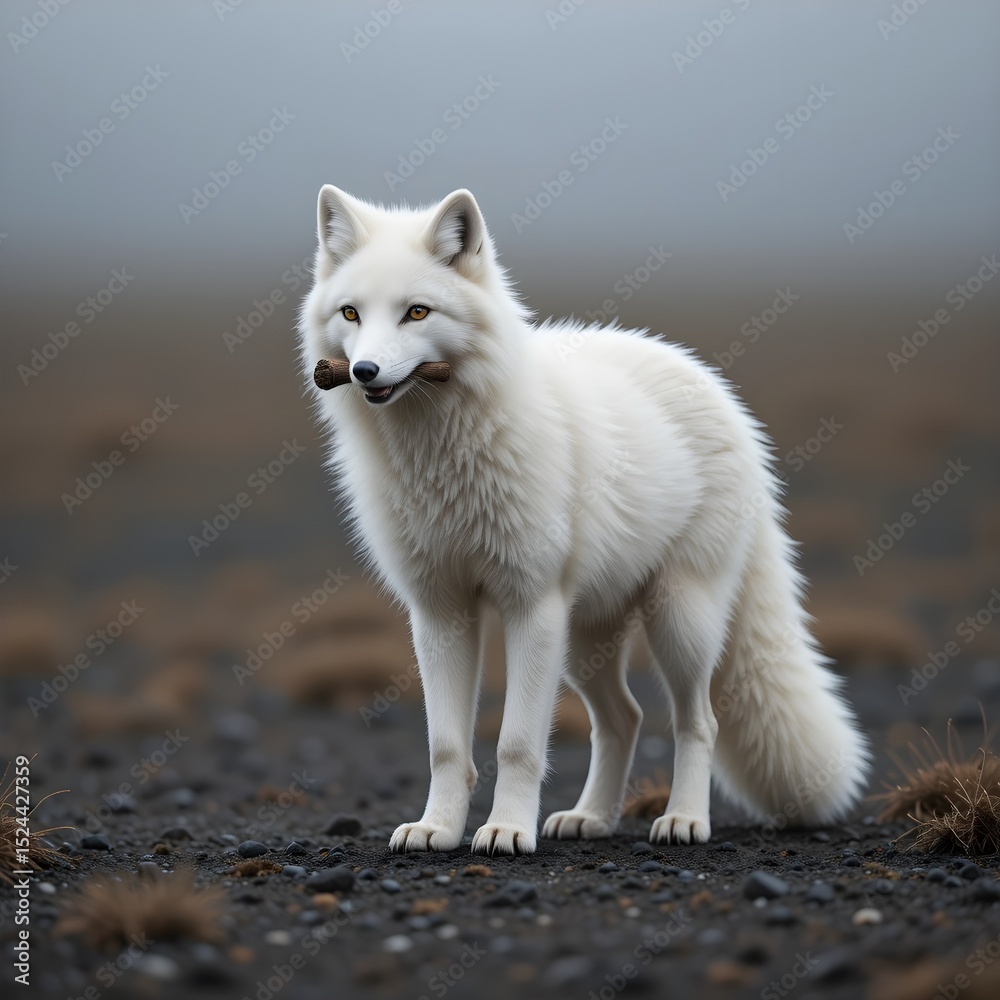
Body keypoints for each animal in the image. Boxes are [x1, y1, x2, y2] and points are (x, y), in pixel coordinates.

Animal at [298, 185, 870, 855]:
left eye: (416, 313)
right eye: (351, 314)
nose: (365, 372)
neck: (442, 455)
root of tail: (715, 386)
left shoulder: (531, 603)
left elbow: (517, 743)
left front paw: (506, 830)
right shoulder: (439, 609)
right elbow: (446, 746)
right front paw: (438, 828)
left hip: (676, 621)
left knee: (696, 720)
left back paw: (684, 819)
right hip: (583, 637)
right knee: (625, 719)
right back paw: (592, 817)